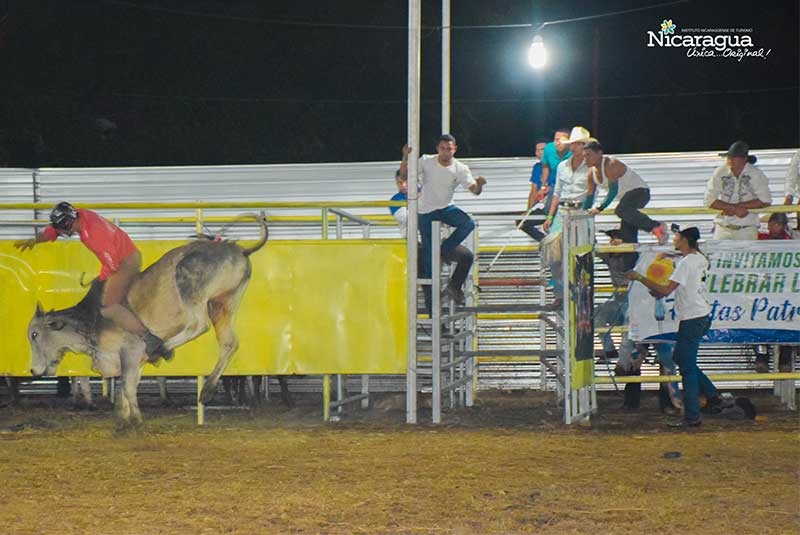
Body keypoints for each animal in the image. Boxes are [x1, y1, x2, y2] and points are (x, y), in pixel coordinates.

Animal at [26, 218, 268, 428]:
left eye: (34, 334)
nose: (33, 370)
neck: (91, 319)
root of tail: (236, 249)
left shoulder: (131, 350)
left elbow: (127, 386)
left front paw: (134, 421)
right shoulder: (134, 360)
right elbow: (128, 387)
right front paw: (124, 418)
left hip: (191, 289)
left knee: (197, 325)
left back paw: (162, 347)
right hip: (224, 302)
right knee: (229, 342)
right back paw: (206, 389)